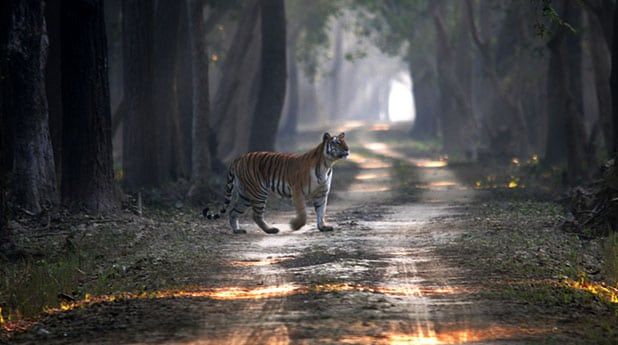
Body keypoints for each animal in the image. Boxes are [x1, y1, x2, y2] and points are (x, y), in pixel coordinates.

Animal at [202, 132, 346, 234]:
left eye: (344, 142)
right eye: (336, 143)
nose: (347, 150)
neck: (327, 165)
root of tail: (239, 157)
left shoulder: (322, 193)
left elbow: (321, 211)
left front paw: (323, 227)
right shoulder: (297, 191)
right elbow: (303, 213)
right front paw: (295, 225)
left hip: (245, 195)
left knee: (233, 211)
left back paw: (237, 230)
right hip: (258, 192)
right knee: (256, 215)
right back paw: (270, 230)